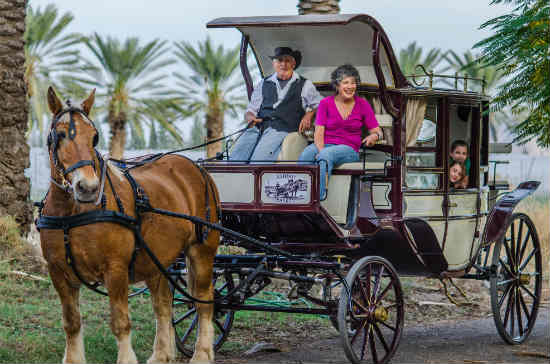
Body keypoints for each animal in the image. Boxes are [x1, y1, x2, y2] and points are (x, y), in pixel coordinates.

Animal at [38, 86, 221, 362]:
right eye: (59, 135)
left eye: (94, 138)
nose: (88, 188)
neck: (72, 214)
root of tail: (196, 167)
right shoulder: (58, 271)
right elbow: (71, 323)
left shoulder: (115, 269)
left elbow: (120, 322)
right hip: (158, 259)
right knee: (163, 305)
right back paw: (161, 354)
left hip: (202, 252)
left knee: (203, 301)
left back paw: (202, 353)